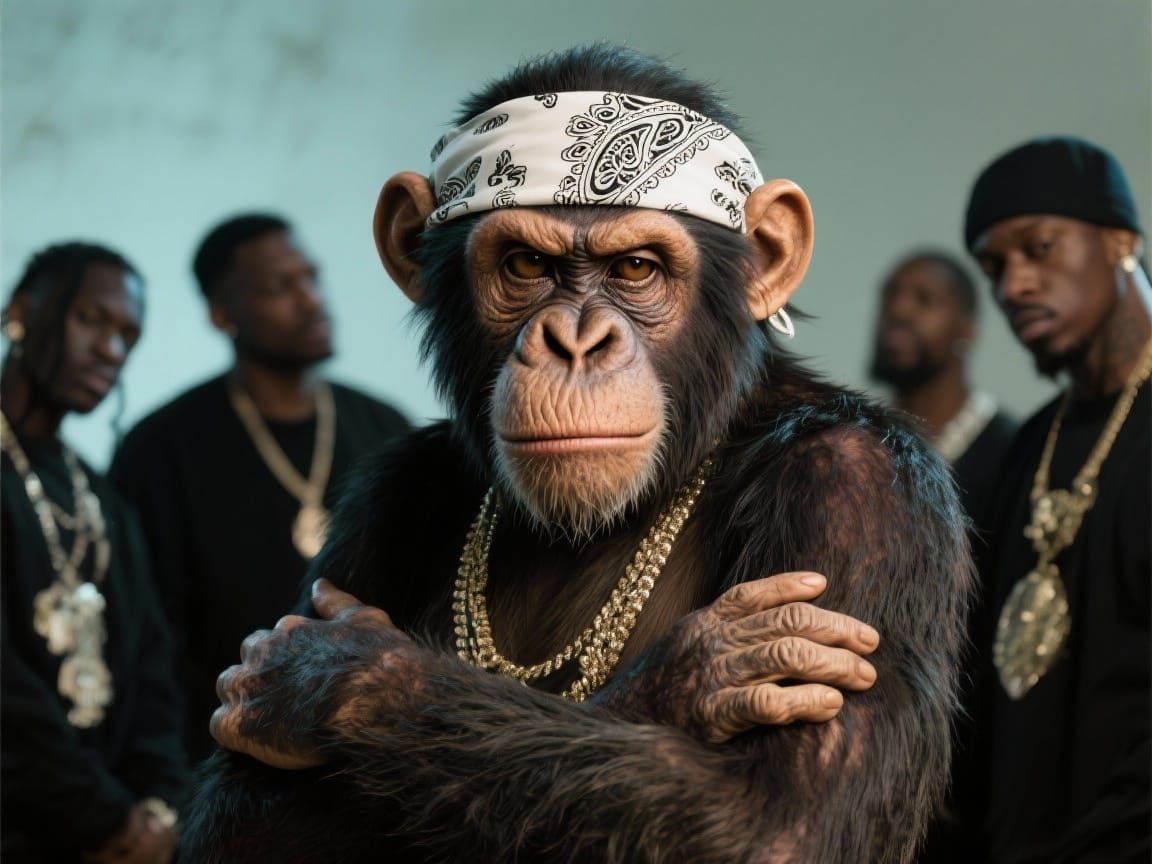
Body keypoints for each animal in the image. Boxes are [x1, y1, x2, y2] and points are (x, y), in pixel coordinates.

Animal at [179, 44, 972, 864]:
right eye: (527, 264)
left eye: (637, 269)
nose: (576, 342)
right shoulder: (389, 487)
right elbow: (244, 818)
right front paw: (687, 675)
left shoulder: (859, 486)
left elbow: (780, 820)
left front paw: (340, 675)